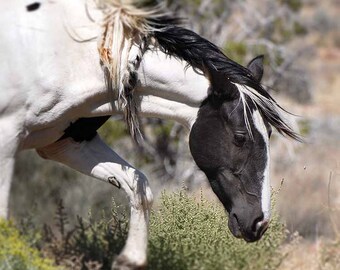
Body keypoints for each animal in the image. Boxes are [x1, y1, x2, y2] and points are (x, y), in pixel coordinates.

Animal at [0, 1, 298, 268]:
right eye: (240, 137)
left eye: (269, 133)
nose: (259, 222)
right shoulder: (7, 139)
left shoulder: (65, 143)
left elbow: (139, 186)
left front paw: (130, 260)